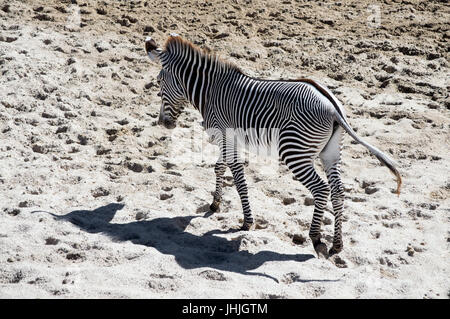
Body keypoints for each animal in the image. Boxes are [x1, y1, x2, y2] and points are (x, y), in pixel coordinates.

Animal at [144, 35, 400, 258]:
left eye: (159, 82)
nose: (163, 123)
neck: (210, 91)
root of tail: (332, 107)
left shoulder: (225, 136)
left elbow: (239, 180)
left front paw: (247, 222)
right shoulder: (227, 139)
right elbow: (219, 168)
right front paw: (215, 204)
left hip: (294, 151)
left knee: (321, 189)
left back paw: (316, 238)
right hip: (330, 153)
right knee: (338, 190)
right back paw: (337, 244)